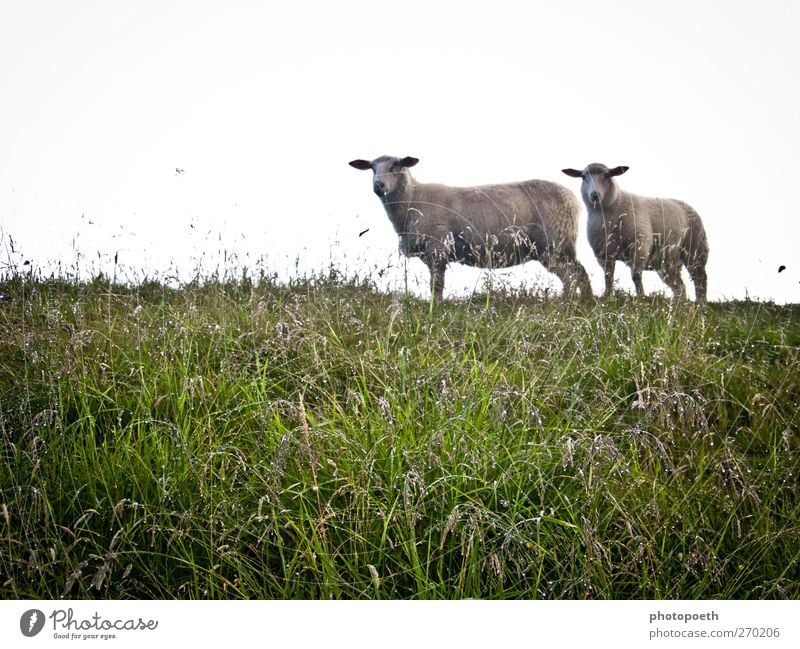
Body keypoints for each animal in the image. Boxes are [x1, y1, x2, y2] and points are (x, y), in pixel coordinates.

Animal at [346, 154, 592, 302]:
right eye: (371, 168)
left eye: (396, 165)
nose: (379, 185)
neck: (412, 199)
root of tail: (572, 200)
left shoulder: (437, 248)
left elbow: (437, 286)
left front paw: (435, 310)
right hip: (555, 247)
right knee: (577, 273)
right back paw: (584, 301)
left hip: (554, 244)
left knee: (572, 275)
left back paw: (570, 302)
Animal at [560, 163, 708, 302]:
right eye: (583, 177)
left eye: (607, 175)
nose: (595, 195)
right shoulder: (605, 254)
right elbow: (608, 277)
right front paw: (607, 296)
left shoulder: (639, 247)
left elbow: (636, 277)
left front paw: (640, 298)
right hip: (667, 261)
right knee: (680, 287)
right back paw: (679, 304)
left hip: (695, 251)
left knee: (700, 280)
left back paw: (700, 304)